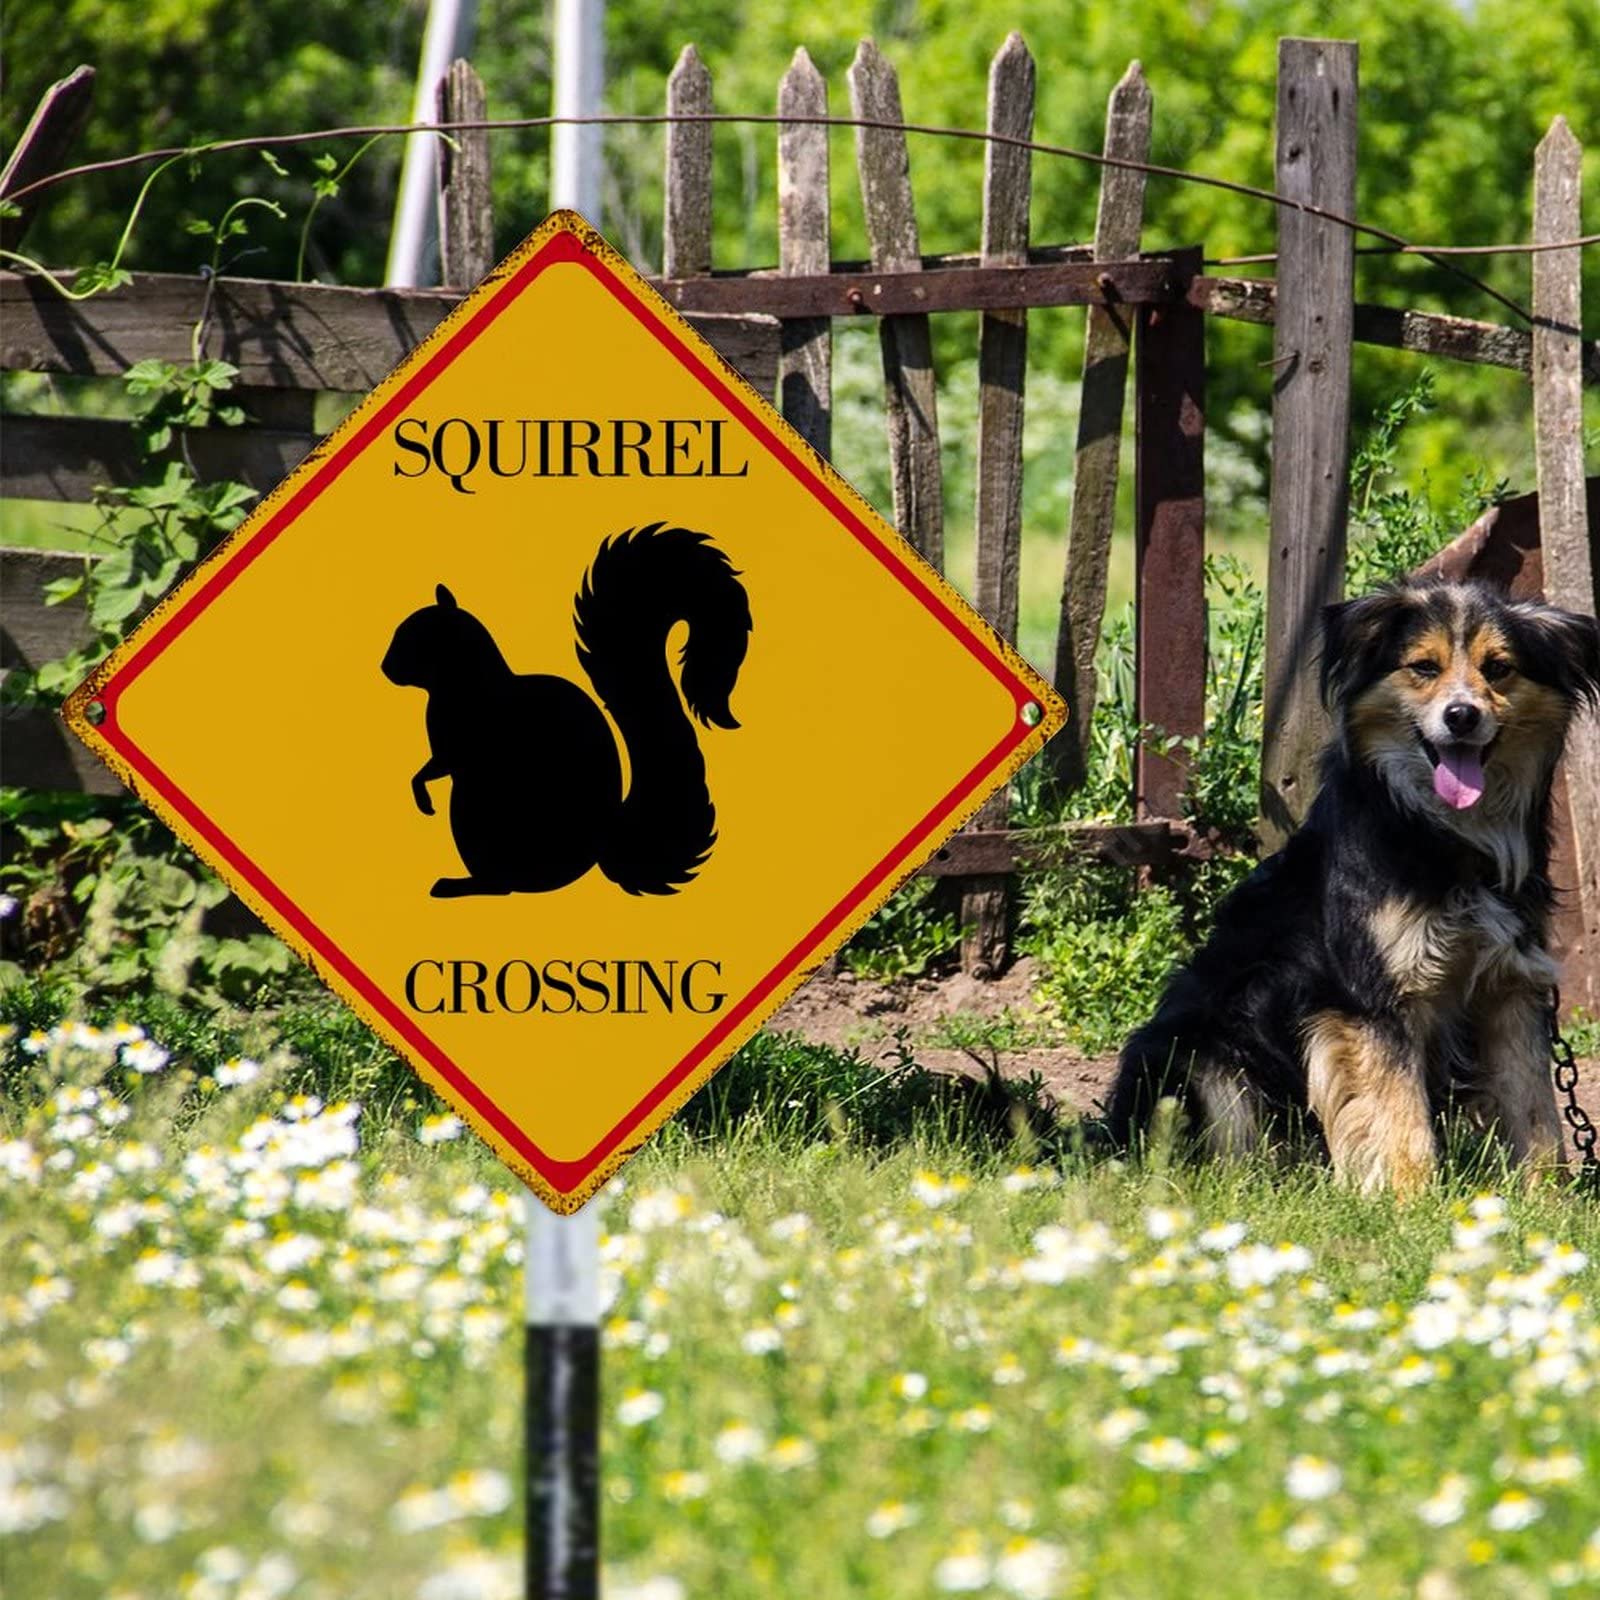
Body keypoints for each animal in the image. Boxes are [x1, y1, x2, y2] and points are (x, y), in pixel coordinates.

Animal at [381, 522, 751, 898]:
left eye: (410, 639)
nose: (384, 667)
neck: (460, 681)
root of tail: (605, 843)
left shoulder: (460, 743)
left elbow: (433, 768)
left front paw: (423, 799)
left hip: (476, 812)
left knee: (501, 885)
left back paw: (455, 885)